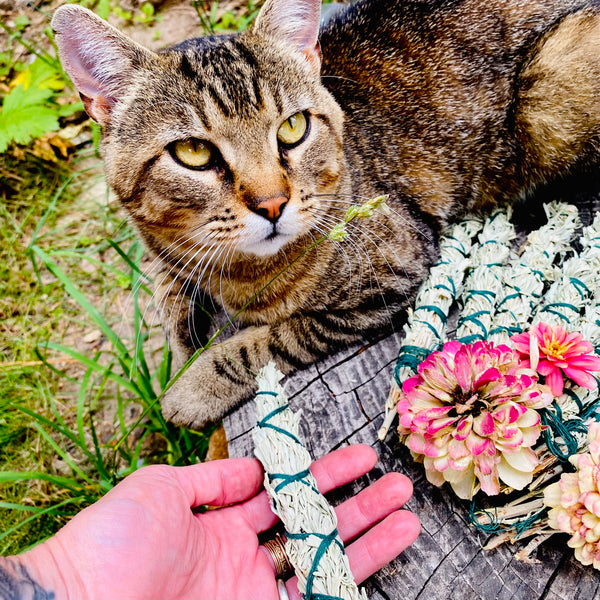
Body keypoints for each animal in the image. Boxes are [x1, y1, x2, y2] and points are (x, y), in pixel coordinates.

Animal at [51, 1, 600, 432]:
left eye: (293, 128)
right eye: (193, 153)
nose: (272, 203)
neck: (235, 272)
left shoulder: (394, 272)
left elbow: (272, 340)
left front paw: (196, 384)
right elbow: (170, 295)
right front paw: (184, 340)